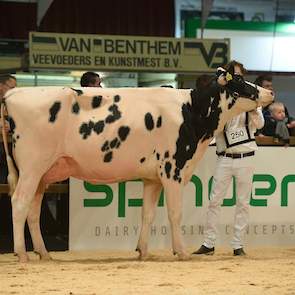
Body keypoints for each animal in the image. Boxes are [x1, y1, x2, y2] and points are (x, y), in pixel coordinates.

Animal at [1, 68, 274, 262]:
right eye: (240, 80)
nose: (270, 93)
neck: (192, 111)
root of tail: (13, 94)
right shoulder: (173, 170)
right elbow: (175, 213)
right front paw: (182, 251)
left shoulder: (152, 178)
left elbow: (148, 214)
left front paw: (143, 251)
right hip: (31, 167)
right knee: (19, 203)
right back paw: (22, 254)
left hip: (42, 174)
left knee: (33, 211)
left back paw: (44, 254)